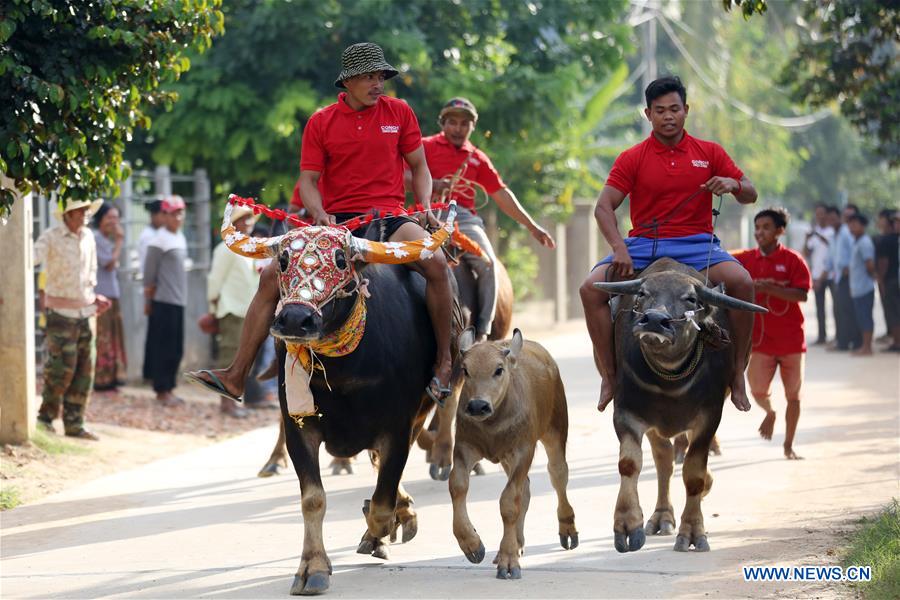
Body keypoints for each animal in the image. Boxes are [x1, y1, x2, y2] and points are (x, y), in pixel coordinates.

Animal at [448, 330, 576, 580]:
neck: (492, 424)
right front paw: (473, 545)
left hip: (555, 430)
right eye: (466, 370)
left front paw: (509, 563)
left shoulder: (523, 451)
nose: (478, 406)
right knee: (525, 489)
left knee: (558, 475)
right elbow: (457, 485)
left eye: (499, 369)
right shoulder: (465, 447)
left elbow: (508, 502)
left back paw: (567, 530)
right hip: (506, 459)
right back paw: (515, 544)